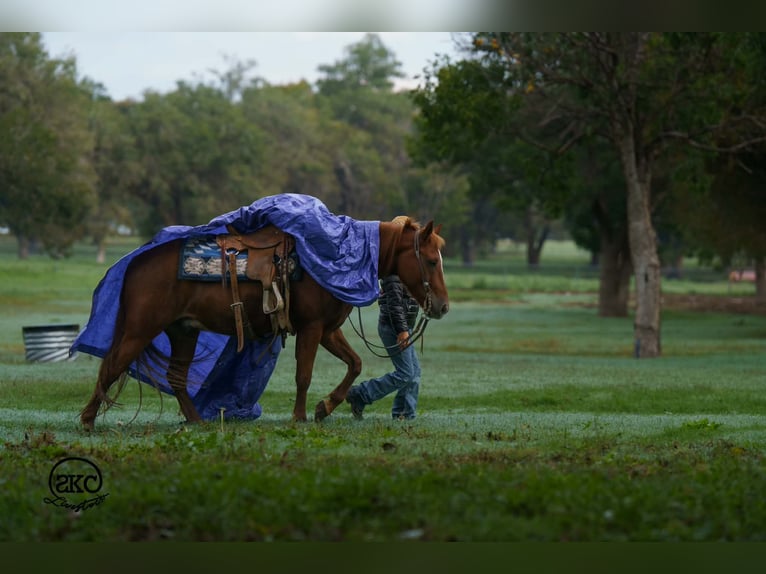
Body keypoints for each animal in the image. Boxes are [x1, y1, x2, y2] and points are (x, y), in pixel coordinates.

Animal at [79, 217, 449, 430]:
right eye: (432, 261)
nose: (443, 306)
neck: (342, 256)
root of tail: (136, 261)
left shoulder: (328, 329)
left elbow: (355, 363)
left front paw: (325, 407)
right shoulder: (312, 328)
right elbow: (304, 374)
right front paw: (300, 416)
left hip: (183, 330)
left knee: (176, 377)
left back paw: (198, 421)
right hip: (140, 328)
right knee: (112, 366)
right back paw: (87, 420)